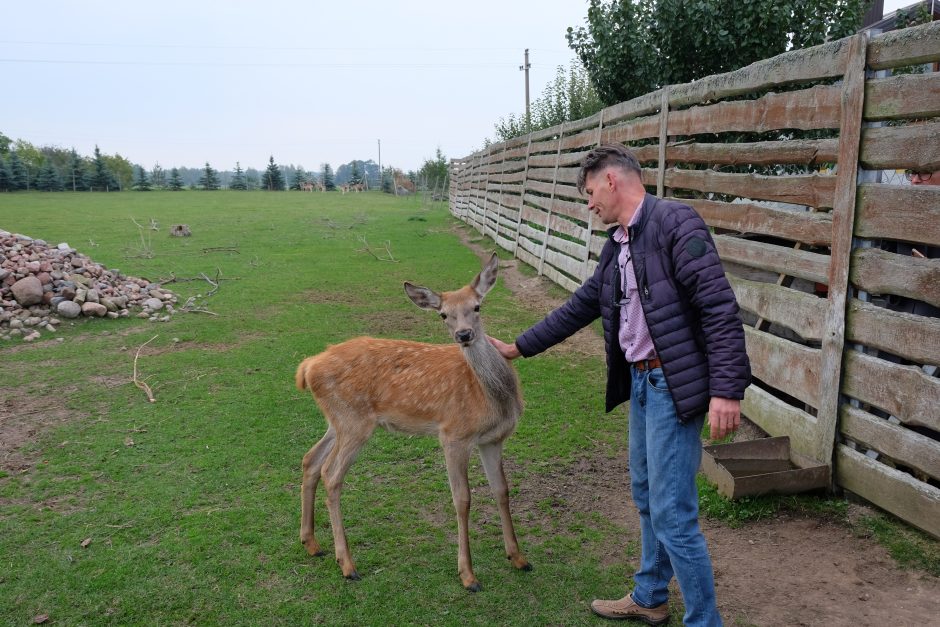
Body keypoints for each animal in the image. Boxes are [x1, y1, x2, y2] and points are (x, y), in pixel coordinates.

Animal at [294, 253, 528, 592]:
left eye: (477, 306)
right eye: (443, 314)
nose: (463, 335)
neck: (492, 398)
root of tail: (308, 366)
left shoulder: (493, 439)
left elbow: (502, 490)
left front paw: (518, 557)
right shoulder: (454, 434)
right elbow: (463, 499)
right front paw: (468, 575)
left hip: (337, 420)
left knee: (311, 459)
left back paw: (311, 543)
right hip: (354, 422)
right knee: (331, 473)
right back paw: (347, 564)